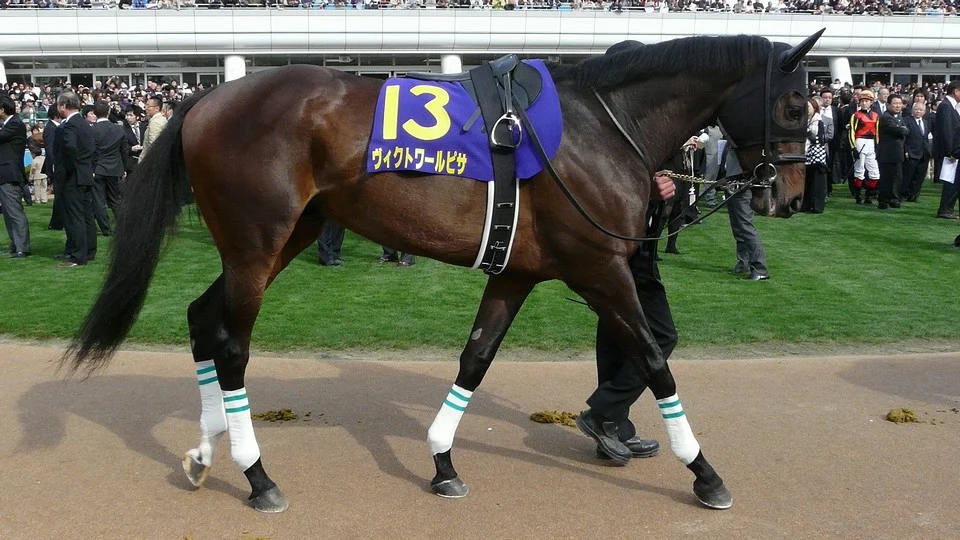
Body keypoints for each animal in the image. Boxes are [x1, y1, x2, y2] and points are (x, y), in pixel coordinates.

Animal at [63, 31, 824, 513]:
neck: (600, 129)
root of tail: (206, 98)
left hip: (286, 238)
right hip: (258, 245)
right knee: (229, 345)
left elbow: (475, 359)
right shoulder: (600, 267)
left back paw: (203, 451)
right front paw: (704, 473)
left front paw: (441, 461)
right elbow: (654, 358)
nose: (784, 195)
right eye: (795, 103)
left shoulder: (517, 272)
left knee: (201, 319)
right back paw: (256, 477)